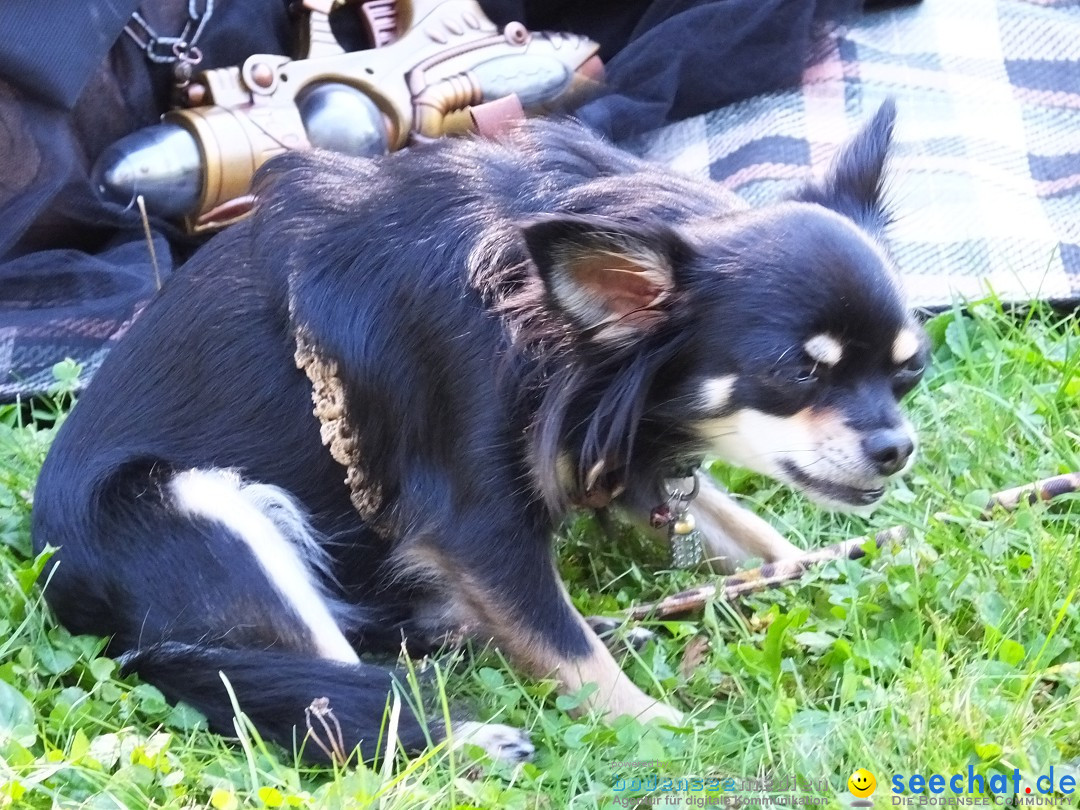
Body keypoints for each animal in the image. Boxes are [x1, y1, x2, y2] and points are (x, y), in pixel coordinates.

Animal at [35, 98, 928, 764]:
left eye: (907, 372)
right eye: (797, 374)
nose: (897, 449)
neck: (557, 329)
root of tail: (65, 593)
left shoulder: (618, 441)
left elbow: (746, 530)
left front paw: (844, 564)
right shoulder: (475, 522)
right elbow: (568, 647)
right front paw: (657, 724)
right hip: (199, 511)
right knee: (319, 688)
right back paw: (464, 738)